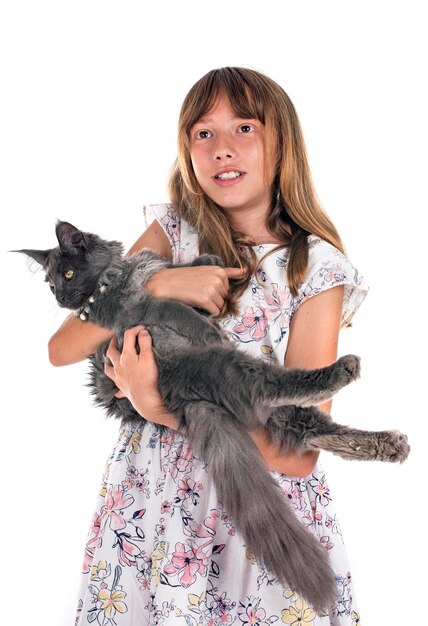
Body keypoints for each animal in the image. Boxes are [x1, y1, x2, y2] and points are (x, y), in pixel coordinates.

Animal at [17, 222, 412, 612]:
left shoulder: (149, 276)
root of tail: (185, 399)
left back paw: (389, 444)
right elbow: (176, 310)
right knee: (272, 388)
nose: (61, 299)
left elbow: (178, 271)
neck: (114, 277)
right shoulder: (138, 309)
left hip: (262, 399)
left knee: (311, 428)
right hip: (222, 366)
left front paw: (206, 262)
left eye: (67, 274)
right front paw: (206, 321)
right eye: (51, 283)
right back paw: (342, 373)